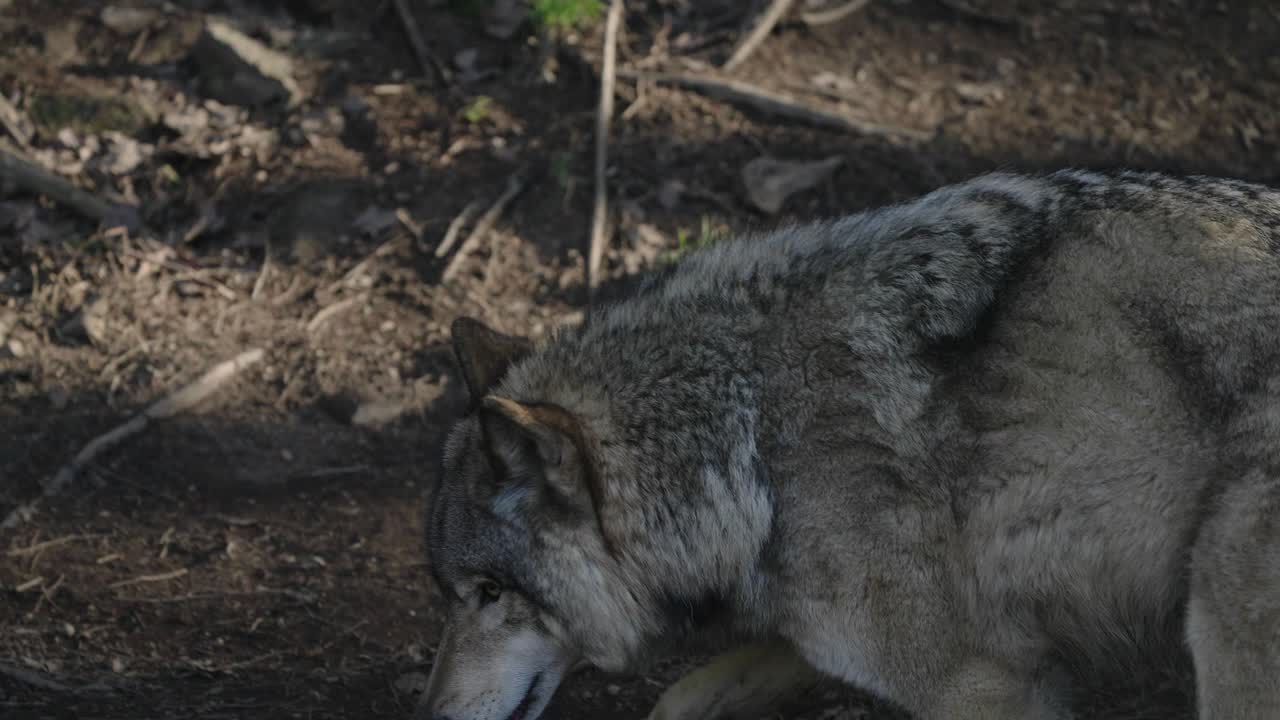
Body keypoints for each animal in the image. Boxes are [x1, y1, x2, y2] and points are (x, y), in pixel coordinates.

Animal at [418, 168, 1280, 720]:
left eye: (490, 594)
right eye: (452, 596)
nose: (432, 716)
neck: (750, 443)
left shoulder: (980, 685)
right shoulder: (829, 634)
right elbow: (685, 695)